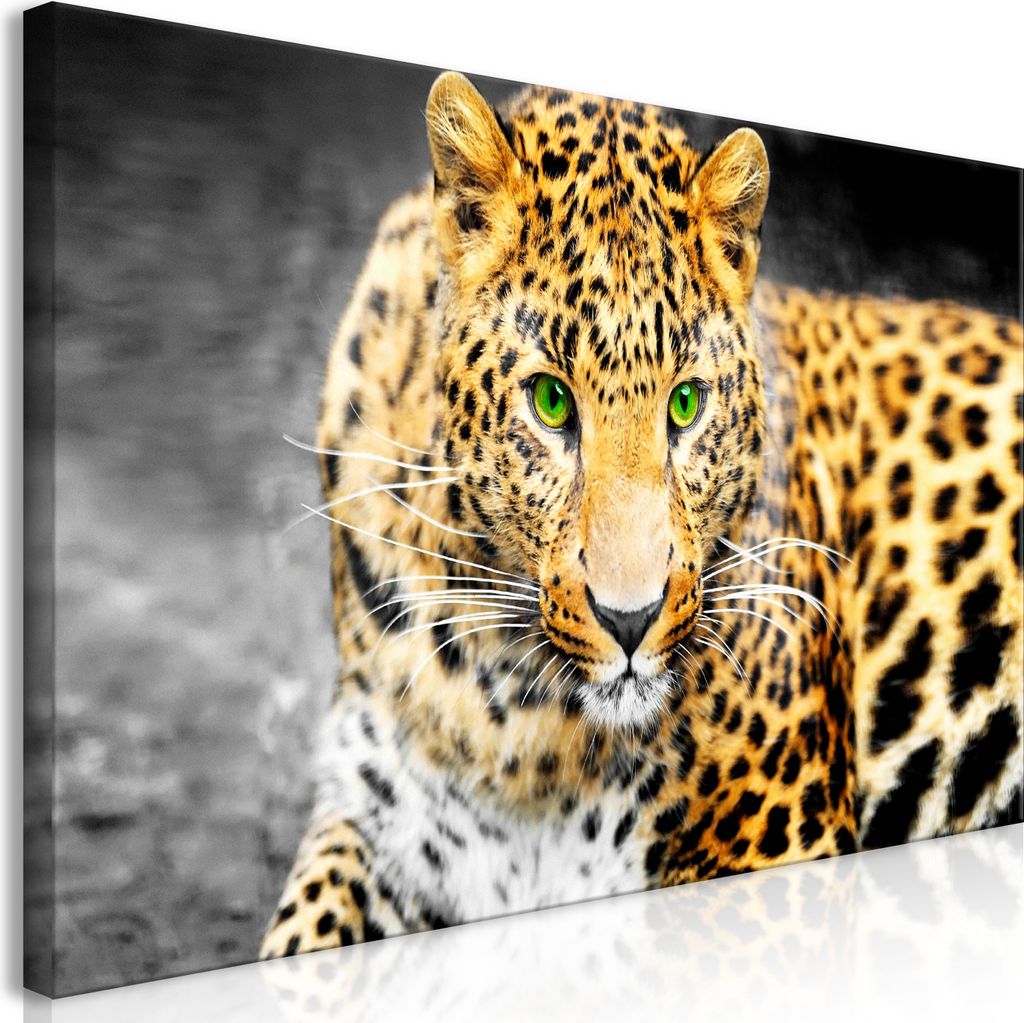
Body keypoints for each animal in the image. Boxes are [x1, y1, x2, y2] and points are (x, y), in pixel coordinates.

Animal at [260, 71, 1023, 960]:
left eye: (686, 404)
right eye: (551, 400)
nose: (631, 620)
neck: (513, 725)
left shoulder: (778, 846)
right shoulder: (379, 814)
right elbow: (301, 950)